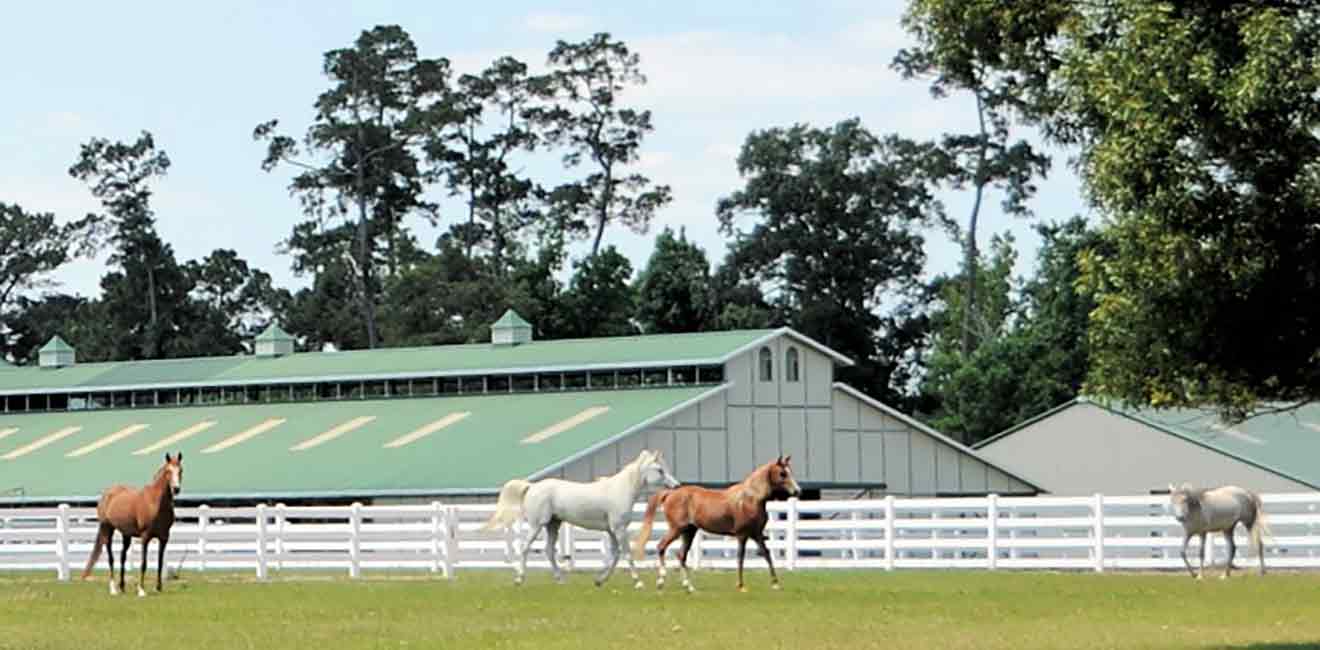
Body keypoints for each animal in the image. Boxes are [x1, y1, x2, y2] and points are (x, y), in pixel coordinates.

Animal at [80, 449, 183, 597]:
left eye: (181, 470)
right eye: (168, 471)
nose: (176, 489)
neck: (156, 503)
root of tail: (107, 493)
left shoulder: (164, 538)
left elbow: (160, 562)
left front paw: (158, 588)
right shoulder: (145, 537)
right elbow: (143, 563)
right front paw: (141, 590)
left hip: (126, 535)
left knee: (122, 556)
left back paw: (122, 586)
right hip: (107, 529)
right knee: (111, 557)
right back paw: (113, 588)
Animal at [485, 446, 681, 589]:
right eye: (660, 470)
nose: (676, 486)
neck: (621, 489)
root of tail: (531, 486)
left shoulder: (612, 531)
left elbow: (615, 555)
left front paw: (599, 580)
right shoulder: (618, 529)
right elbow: (626, 554)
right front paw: (638, 582)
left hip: (553, 525)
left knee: (549, 550)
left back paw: (560, 579)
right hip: (536, 525)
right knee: (525, 548)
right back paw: (519, 579)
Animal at [630, 454, 797, 591]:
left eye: (790, 471)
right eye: (782, 473)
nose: (797, 491)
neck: (750, 499)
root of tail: (671, 493)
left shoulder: (757, 534)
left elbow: (767, 554)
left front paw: (776, 584)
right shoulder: (742, 535)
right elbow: (740, 557)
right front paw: (741, 585)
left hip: (689, 532)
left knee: (681, 555)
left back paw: (689, 587)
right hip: (676, 529)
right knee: (661, 547)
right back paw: (661, 582)